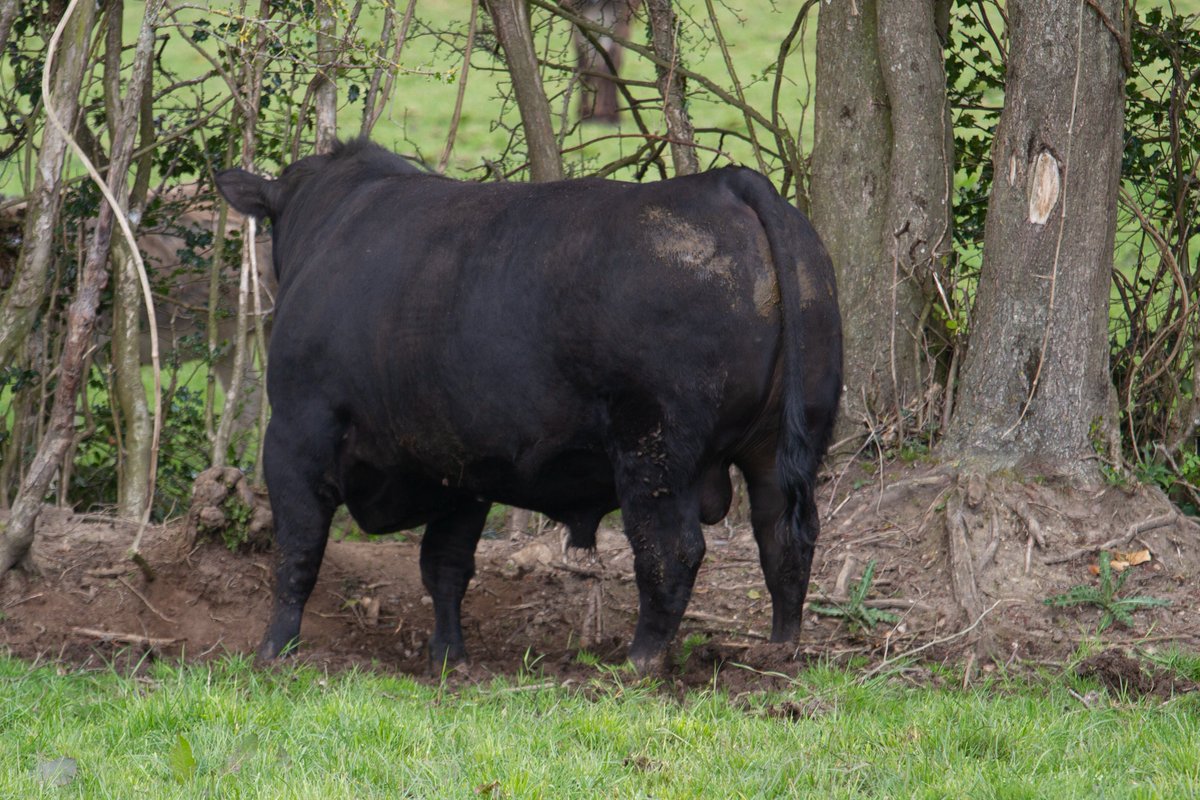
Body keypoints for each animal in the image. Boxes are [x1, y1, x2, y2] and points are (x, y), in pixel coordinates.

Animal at [215, 139, 842, 672]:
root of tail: (726, 183)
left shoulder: (296, 432)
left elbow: (299, 550)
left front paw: (274, 651)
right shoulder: (460, 465)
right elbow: (445, 567)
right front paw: (449, 659)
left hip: (655, 449)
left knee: (670, 550)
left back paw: (638, 662)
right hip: (786, 440)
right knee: (785, 538)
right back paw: (779, 650)